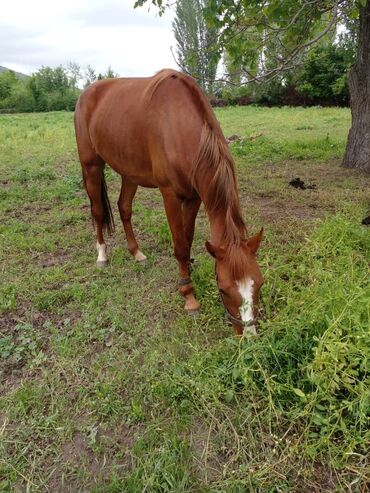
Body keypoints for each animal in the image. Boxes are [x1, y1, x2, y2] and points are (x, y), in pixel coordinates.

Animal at [73, 68, 264, 334]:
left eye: (260, 284)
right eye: (223, 289)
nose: (248, 335)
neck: (178, 126)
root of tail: (85, 94)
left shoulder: (193, 197)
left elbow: (188, 238)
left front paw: (188, 270)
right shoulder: (170, 195)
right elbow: (180, 245)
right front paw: (188, 294)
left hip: (129, 172)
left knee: (124, 208)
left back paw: (137, 253)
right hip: (91, 165)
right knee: (98, 211)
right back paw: (102, 255)